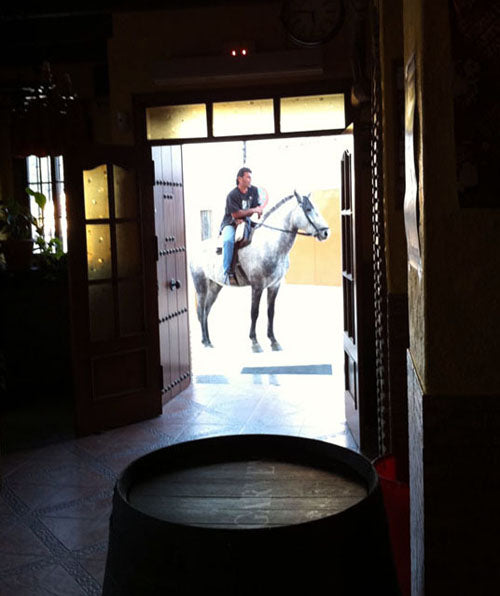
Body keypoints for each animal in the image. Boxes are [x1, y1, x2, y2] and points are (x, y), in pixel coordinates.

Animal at [189, 191, 330, 352]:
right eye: (308, 209)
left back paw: (208, 340)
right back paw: (206, 341)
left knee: (206, 311)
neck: (271, 244)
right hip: (201, 286)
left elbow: (270, 312)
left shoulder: (274, 286)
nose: (326, 232)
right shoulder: (257, 286)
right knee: (201, 310)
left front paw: (274, 341)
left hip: (215, 286)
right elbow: (254, 312)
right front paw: (255, 343)